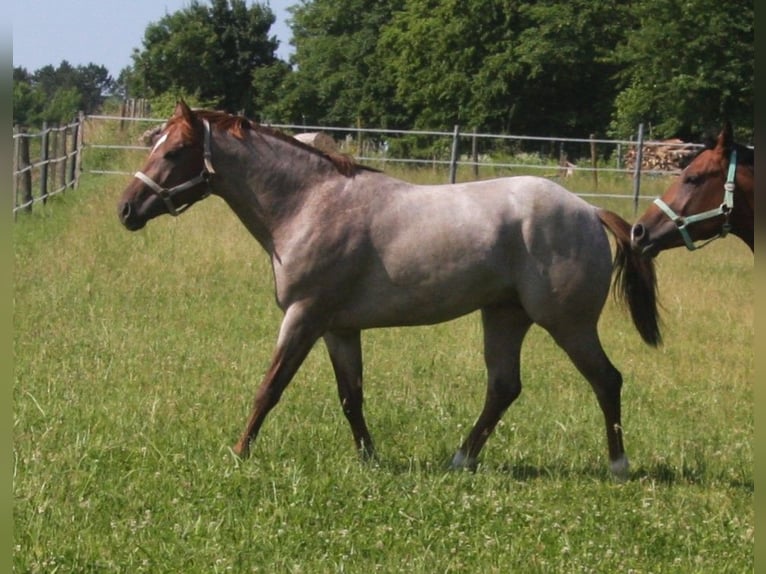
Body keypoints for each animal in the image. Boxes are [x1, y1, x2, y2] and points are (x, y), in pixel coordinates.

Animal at [118, 101, 661, 480]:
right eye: (155, 144)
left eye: (173, 151)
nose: (126, 209)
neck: (310, 203)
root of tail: (588, 210)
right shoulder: (338, 329)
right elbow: (351, 396)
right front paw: (370, 458)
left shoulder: (303, 317)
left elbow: (270, 387)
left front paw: (239, 452)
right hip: (504, 315)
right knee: (504, 387)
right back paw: (461, 460)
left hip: (567, 324)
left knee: (606, 380)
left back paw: (618, 466)